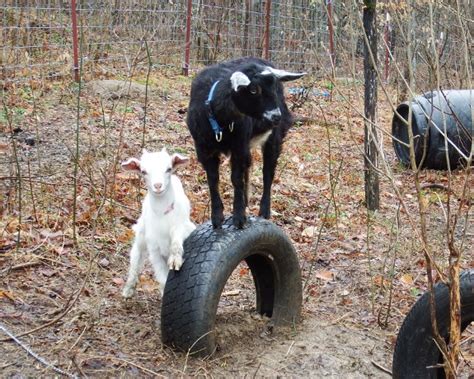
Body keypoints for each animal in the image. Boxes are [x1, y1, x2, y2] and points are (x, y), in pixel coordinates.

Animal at [187, 56, 306, 229]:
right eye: (254, 90)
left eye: (274, 87)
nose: (276, 116)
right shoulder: (204, 150)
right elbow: (213, 180)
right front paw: (217, 217)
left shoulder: (239, 147)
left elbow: (236, 179)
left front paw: (238, 217)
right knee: (248, 168)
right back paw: (247, 202)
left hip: (273, 138)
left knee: (267, 173)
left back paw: (264, 211)